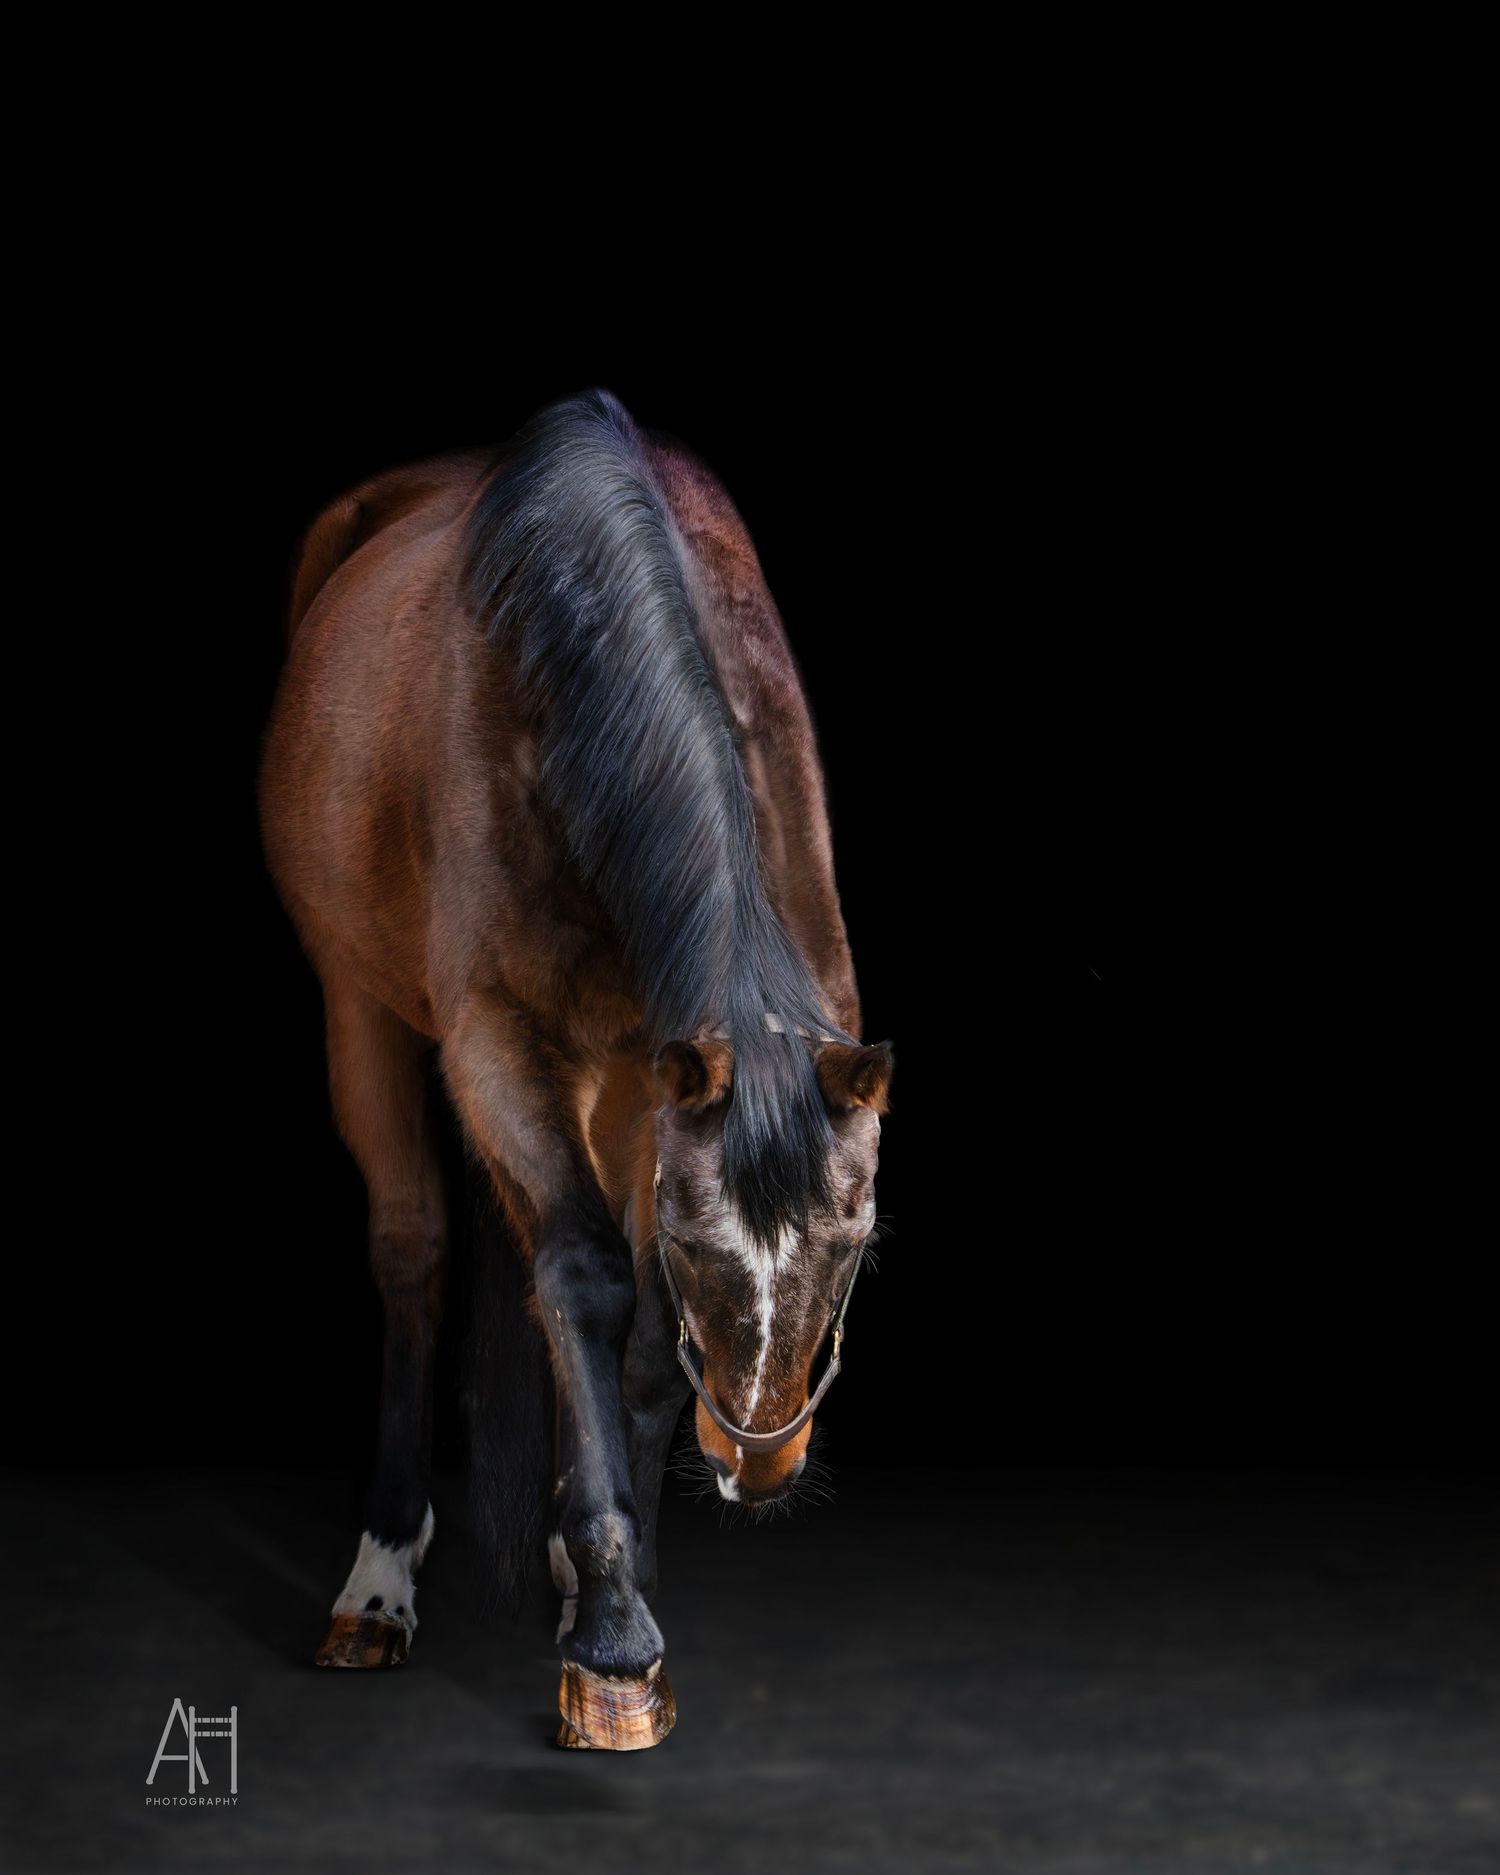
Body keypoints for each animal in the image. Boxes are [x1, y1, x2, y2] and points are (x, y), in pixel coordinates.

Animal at [257, 388, 892, 1749]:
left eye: (857, 1244)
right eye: (710, 1246)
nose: (759, 1452)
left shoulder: (659, 1091)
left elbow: (640, 1329)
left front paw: (621, 1586)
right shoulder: (498, 1043)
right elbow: (589, 1278)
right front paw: (609, 1640)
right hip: (361, 1006)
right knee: (418, 1251)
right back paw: (376, 1585)